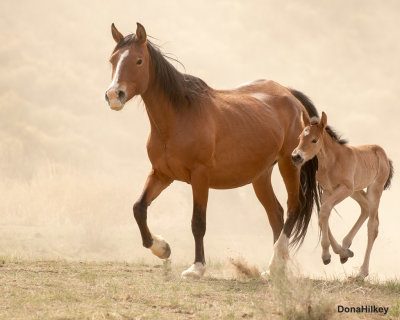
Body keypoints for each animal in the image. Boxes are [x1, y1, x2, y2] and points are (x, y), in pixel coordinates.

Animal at [290, 114, 394, 278]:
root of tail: (383, 154)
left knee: (373, 226)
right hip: (356, 190)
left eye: (314, 140)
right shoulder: (327, 191)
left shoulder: (344, 189)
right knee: (365, 208)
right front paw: (340, 252)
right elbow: (322, 217)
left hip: (373, 189)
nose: (296, 157)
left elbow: (324, 212)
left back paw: (362, 272)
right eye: (300, 137)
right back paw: (346, 247)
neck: (332, 161)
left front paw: (327, 255)